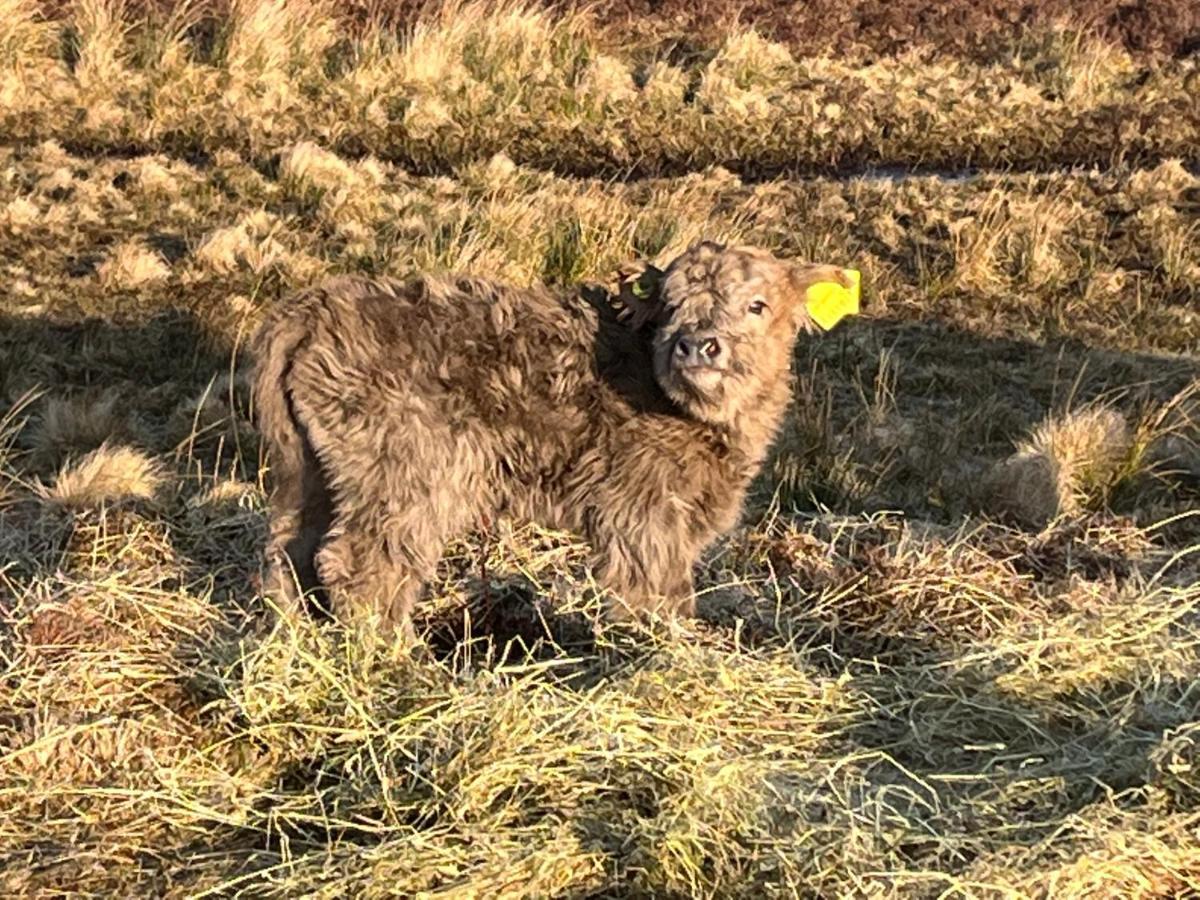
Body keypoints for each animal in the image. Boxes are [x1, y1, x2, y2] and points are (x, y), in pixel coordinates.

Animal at [253, 241, 854, 643]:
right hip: (408, 472)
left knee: (291, 549)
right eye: (669, 306)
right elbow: (655, 593)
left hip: (314, 469)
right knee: (362, 562)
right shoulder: (643, 514)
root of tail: (315, 308)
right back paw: (394, 658)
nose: (696, 345)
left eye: (758, 305)